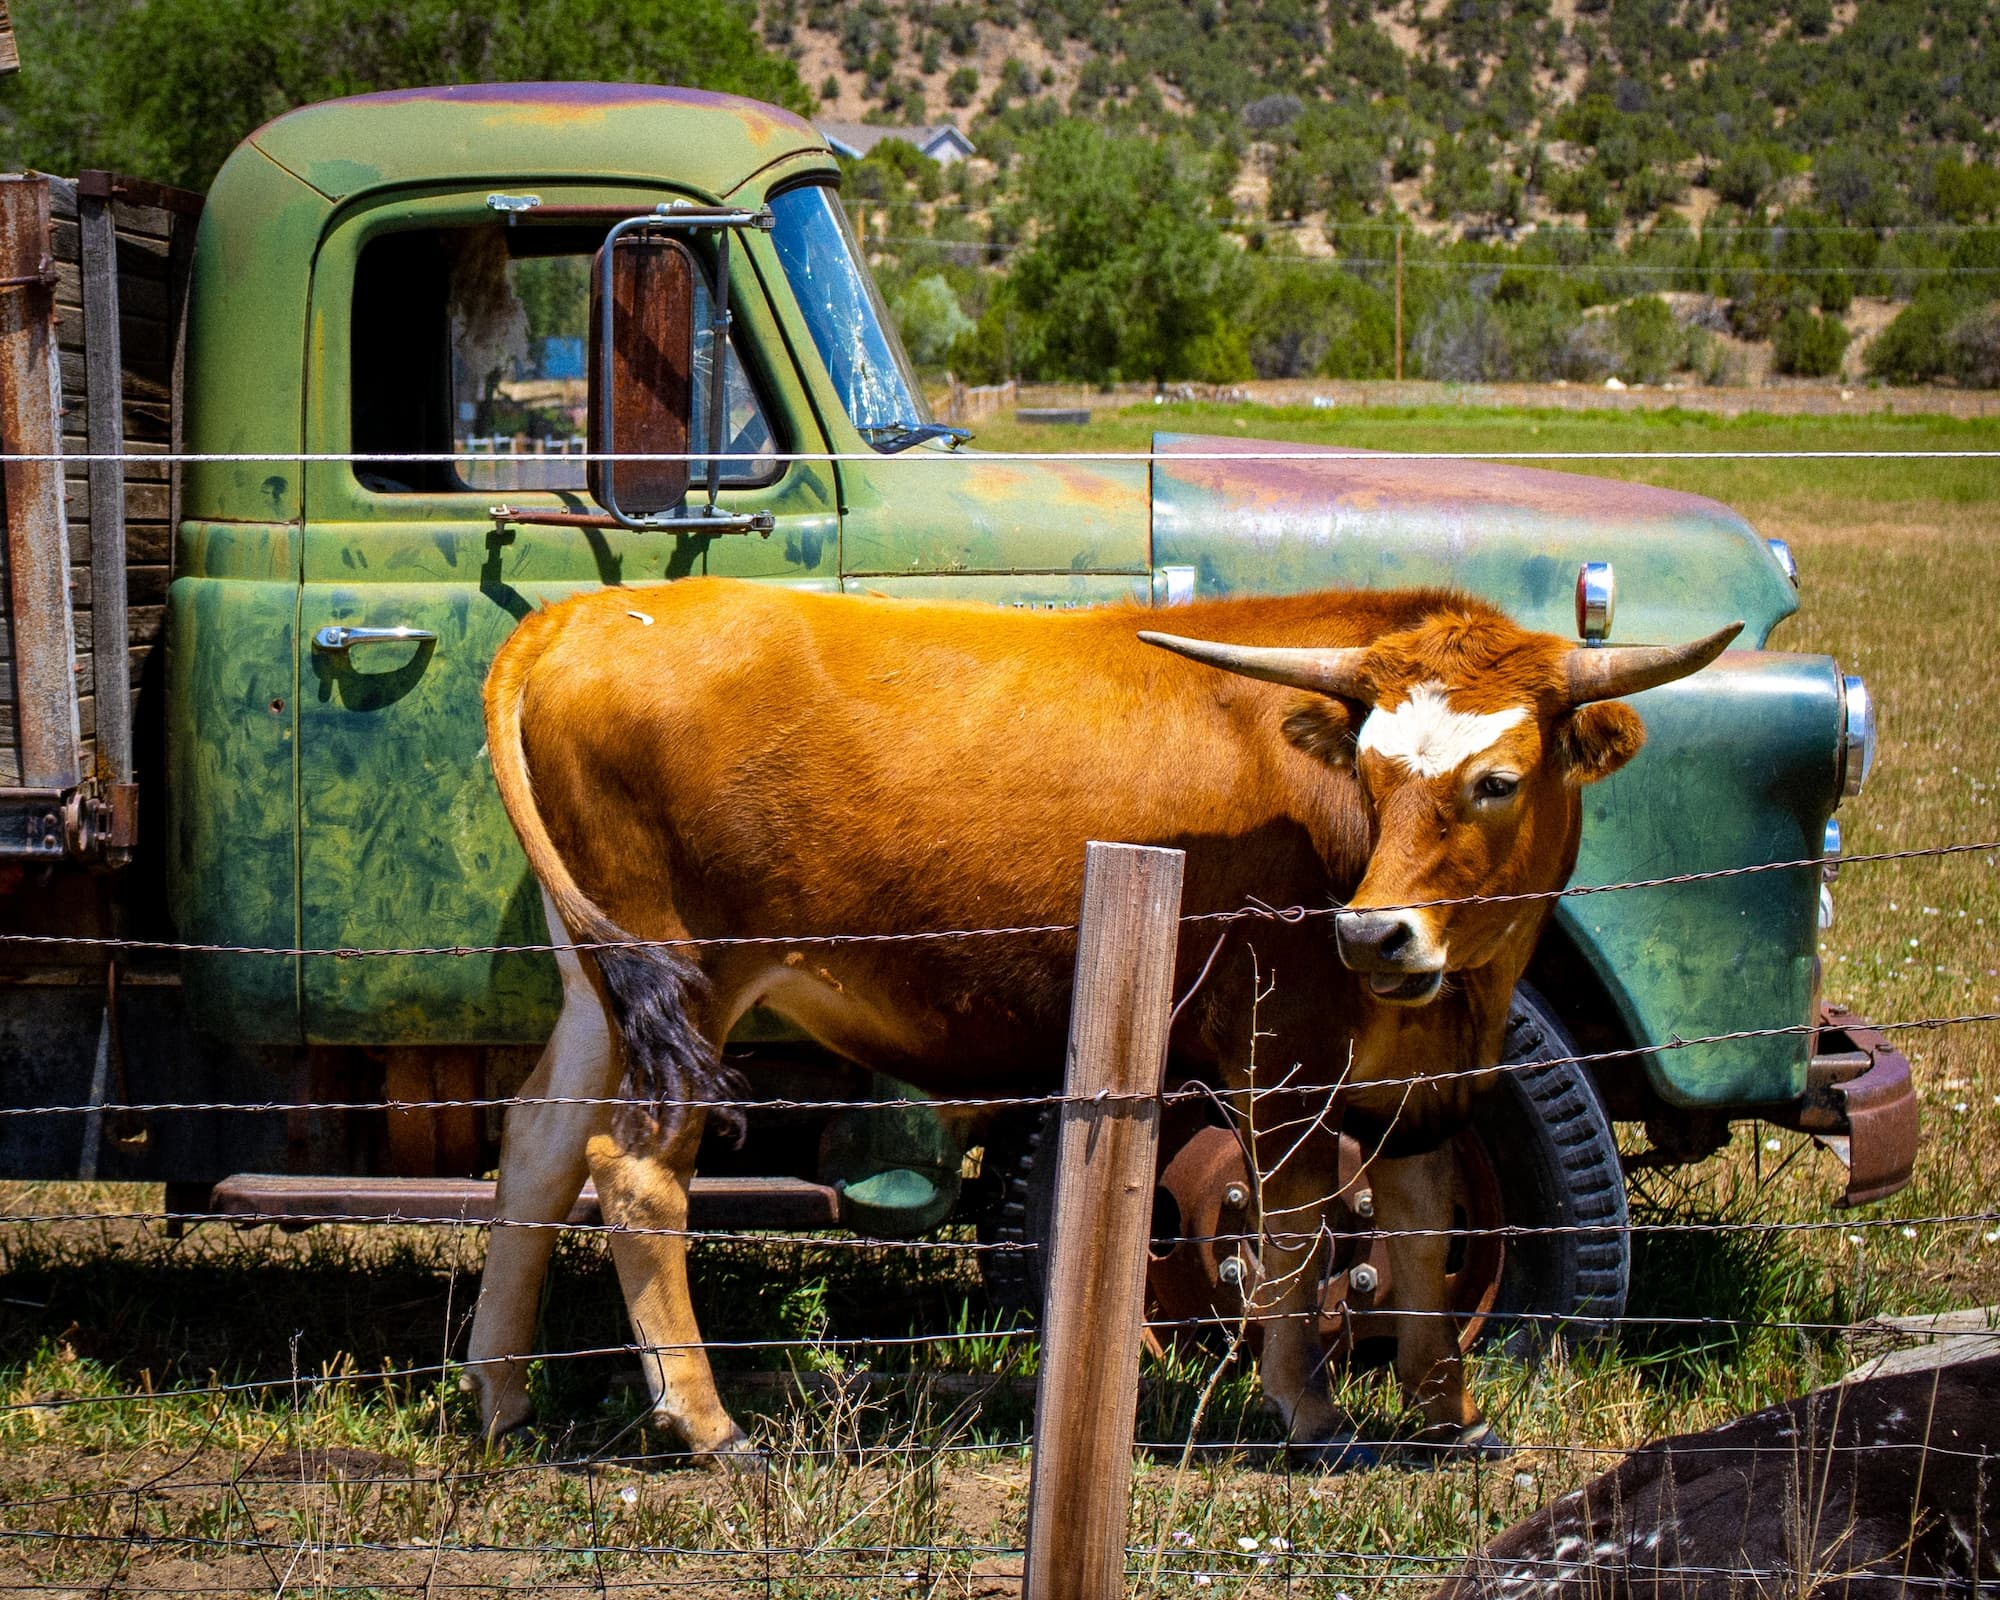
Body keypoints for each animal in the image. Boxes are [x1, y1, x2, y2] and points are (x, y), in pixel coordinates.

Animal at [463, 576, 1736, 1466]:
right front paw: (1310, 1409)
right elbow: (1297, 1227)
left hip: (602, 986)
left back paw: (502, 1392)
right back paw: (705, 1421)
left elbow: (1421, 1222)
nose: (1373, 934)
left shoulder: (1414, 1072)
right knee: (634, 1175)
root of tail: (585, 614)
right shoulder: (1281, 1050)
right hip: (685, 982)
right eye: (1372, 777)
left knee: (535, 1149)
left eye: (1496, 780)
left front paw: (1444, 1410)